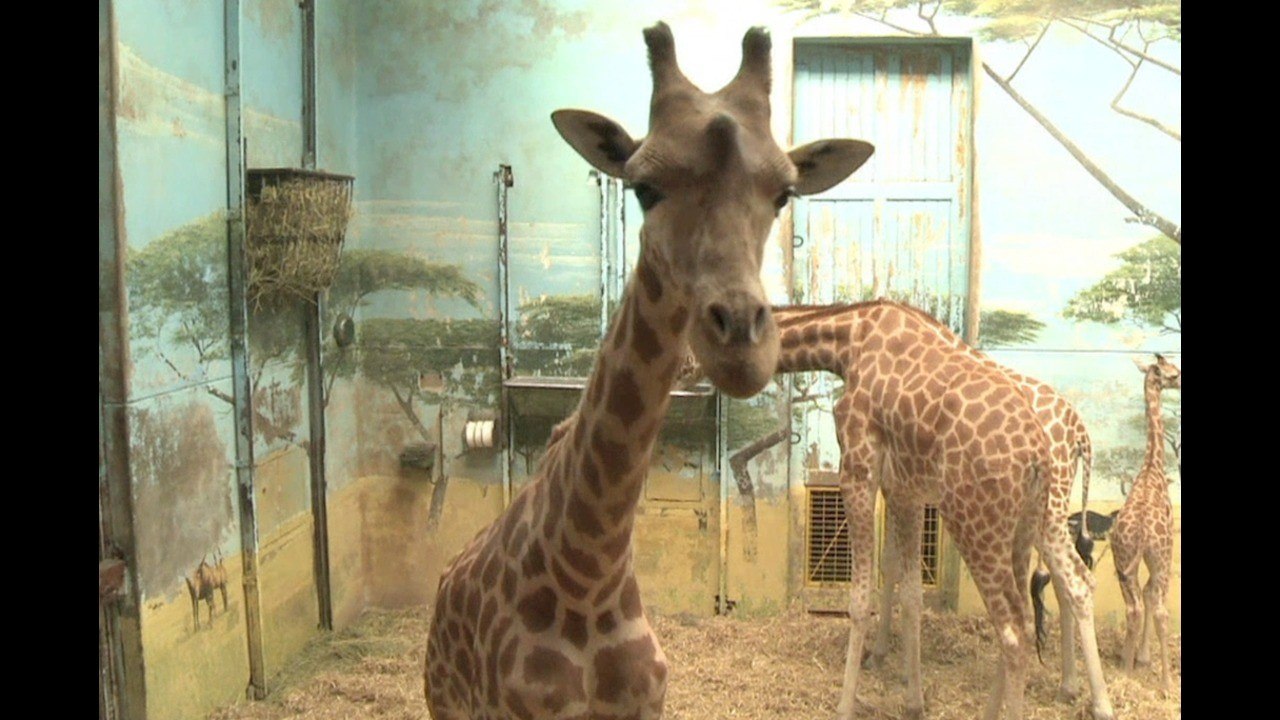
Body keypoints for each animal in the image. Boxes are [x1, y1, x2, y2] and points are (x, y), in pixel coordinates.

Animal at [422, 24, 873, 720]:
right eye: (644, 188)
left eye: (783, 193)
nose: (741, 347)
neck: (588, 571)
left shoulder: (646, 702)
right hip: (443, 702)